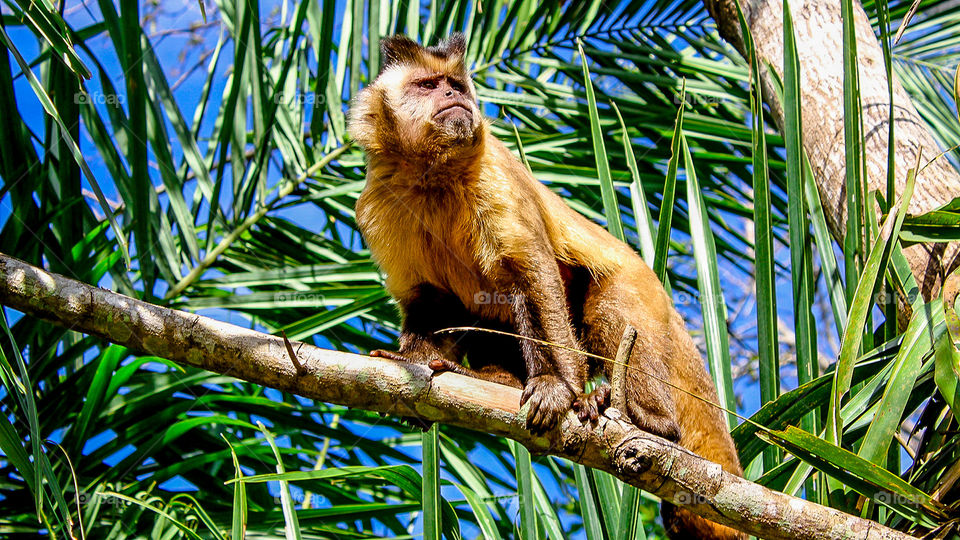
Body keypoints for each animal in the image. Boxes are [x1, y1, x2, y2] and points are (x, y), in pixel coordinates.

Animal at [347, 33, 745, 540]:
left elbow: (530, 274)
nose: (454, 94)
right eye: (428, 85)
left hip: (640, 289)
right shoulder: (377, 201)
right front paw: (412, 363)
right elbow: (428, 298)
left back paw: (645, 420)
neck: (431, 172)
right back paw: (493, 379)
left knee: (610, 312)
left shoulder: (494, 173)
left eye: (455, 84)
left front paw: (557, 389)